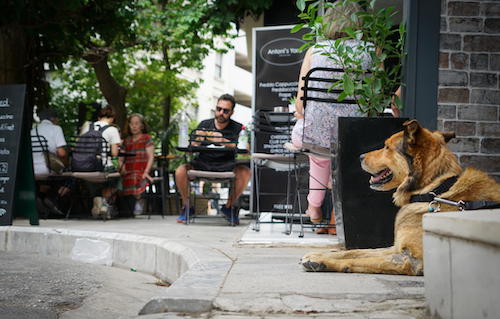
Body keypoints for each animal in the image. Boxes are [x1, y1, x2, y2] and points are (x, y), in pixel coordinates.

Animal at [300, 120, 500, 276]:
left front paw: (322, 261)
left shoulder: (409, 259)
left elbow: (363, 260)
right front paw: (322, 255)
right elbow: (357, 251)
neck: (434, 190)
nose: (360, 156)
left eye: (387, 147)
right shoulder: (396, 247)